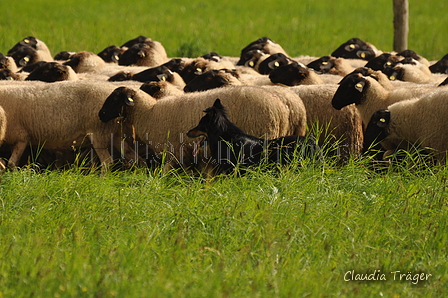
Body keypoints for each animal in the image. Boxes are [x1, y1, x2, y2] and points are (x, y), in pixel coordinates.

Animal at [0, 80, 138, 171]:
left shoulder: (21, 137)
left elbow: (11, 163)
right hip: (116, 134)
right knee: (132, 156)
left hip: (99, 133)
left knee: (107, 162)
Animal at [97, 85, 300, 171]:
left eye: (115, 98)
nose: (101, 114)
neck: (149, 112)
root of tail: (281, 109)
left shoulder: (173, 150)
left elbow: (164, 172)